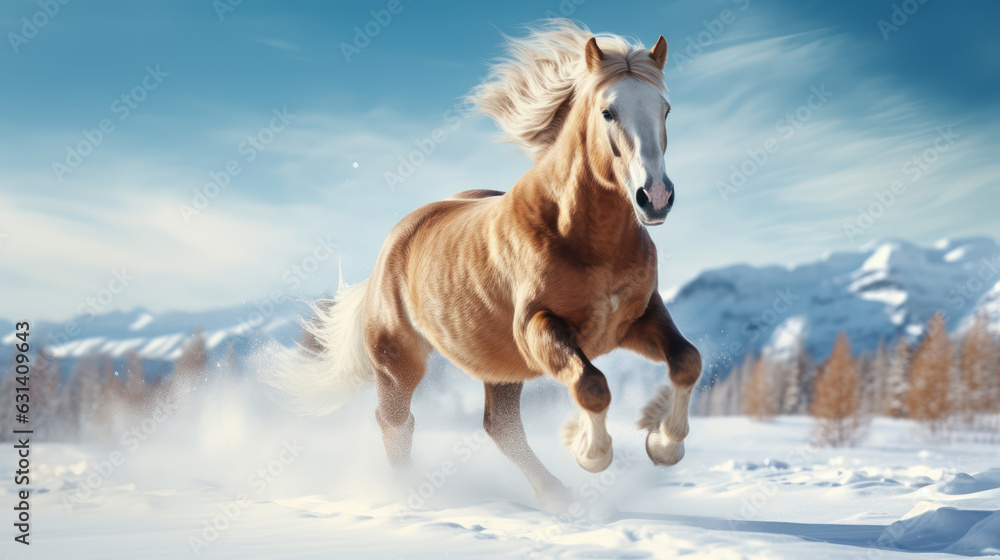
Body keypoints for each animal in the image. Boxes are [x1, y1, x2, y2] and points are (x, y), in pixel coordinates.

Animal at [266, 20, 704, 504]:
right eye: (608, 112)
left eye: (665, 109)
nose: (655, 197)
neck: (586, 239)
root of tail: (394, 241)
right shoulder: (538, 327)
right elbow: (591, 385)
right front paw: (591, 453)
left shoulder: (636, 318)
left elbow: (688, 360)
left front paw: (662, 446)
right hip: (398, 362)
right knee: (396, 422)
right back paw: (409, 492)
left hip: (499, 365)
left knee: (500, 427)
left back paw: (554, 494)